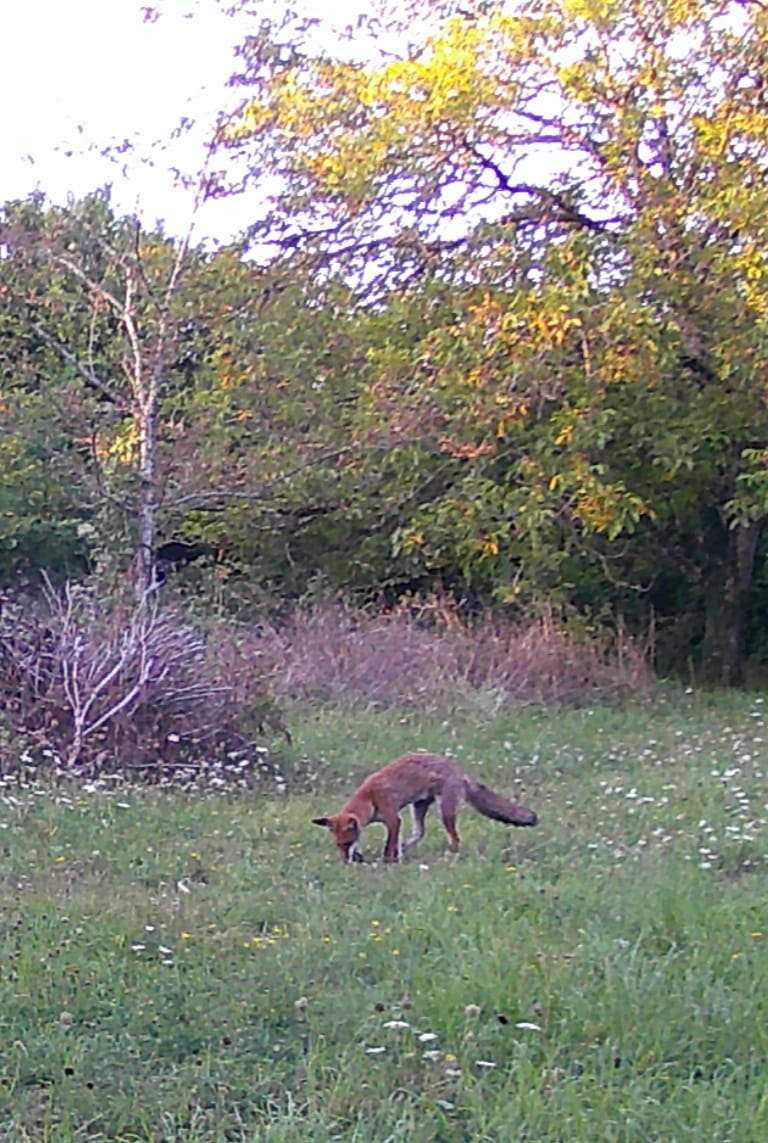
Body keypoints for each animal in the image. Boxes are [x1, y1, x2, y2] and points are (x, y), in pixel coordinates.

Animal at [310, 754, 534, 859]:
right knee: (420, 832)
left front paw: (388, 861)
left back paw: (449, 856)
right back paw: (406, 847)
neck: (370, 797)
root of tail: (458, 770)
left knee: (455, 838)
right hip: (418, 806)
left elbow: (389, 846)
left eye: (346, 843)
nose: (343, 862)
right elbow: (391, 843)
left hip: (444, 811)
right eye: (338, 844)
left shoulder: (393, 819)